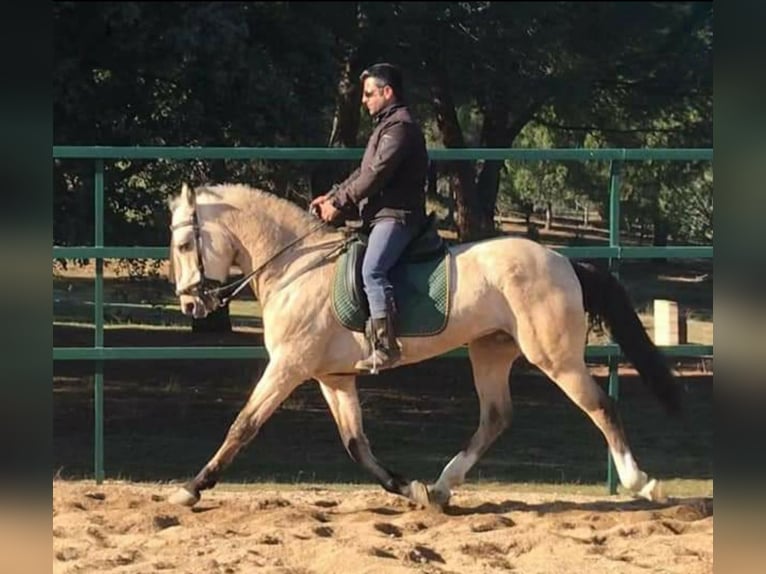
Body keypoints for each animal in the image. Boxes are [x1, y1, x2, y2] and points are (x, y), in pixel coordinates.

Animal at [166, 183, 680, 508]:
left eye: (186, 245)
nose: (192, 304)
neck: (297, 265)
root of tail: (565, 262)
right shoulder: (334, 377)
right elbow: (356, 444)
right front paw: (409, 489)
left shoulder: (288, 366)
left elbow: (243, 426)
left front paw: (191, 487)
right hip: (491, 351)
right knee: (496, 417)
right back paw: (441, 486)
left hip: (554, 357)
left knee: (600, 407)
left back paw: (642, 483)